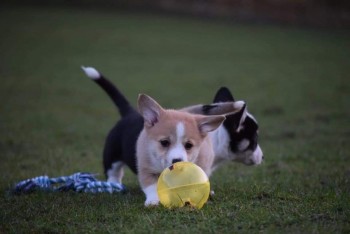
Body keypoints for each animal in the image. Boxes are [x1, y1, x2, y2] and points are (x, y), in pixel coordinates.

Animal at [82, 66, 262, 183]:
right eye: (254, 140)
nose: (263, 157)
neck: (215, 137)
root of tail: (129, 112)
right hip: (112, 155)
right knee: (113, 172)